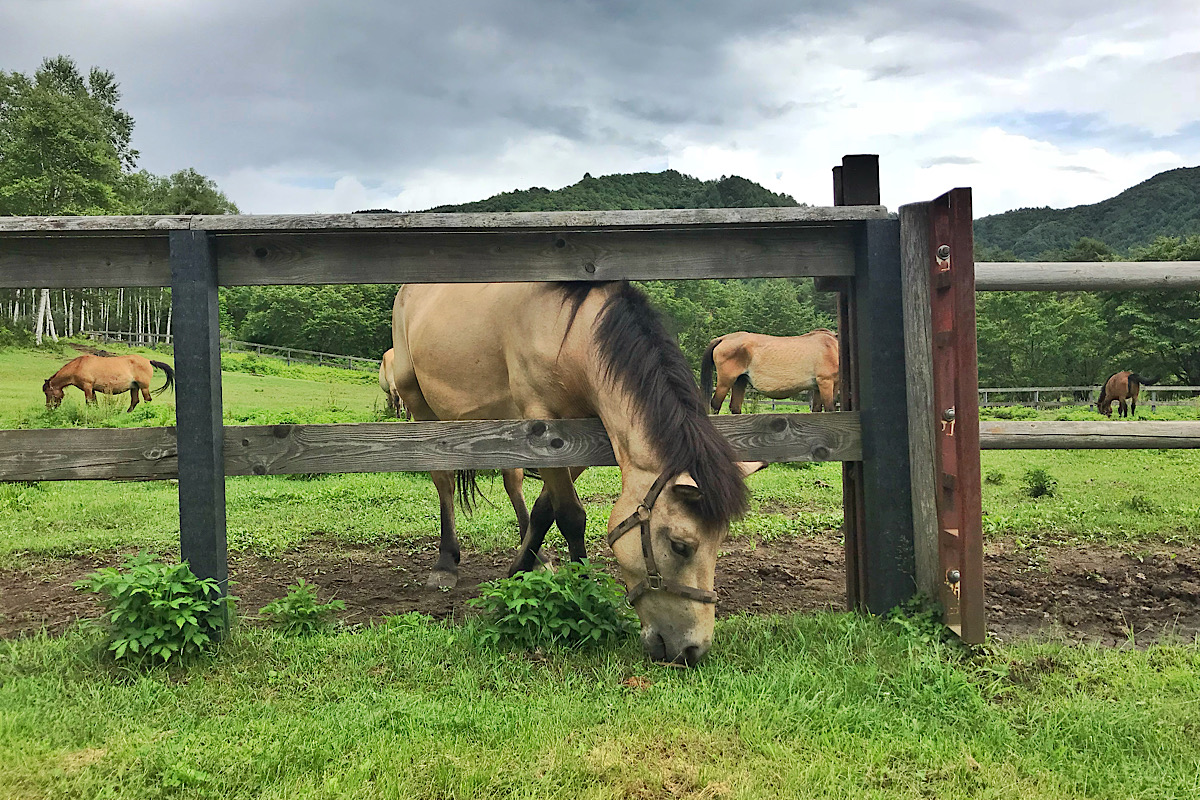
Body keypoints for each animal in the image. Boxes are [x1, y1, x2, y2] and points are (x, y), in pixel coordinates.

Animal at [42, 352, 175, 410]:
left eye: (48, 393)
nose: (49, 408)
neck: (78, 366)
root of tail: (148, 361)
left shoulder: (87, 387)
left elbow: (89, 402)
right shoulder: (91, 389)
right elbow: (94, 402)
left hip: (144, 387)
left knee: (147, 400)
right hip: (134, 387)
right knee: (135, 401)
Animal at [396, 284, 768, 666]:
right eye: (681, 546)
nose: (693, 650)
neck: (572, 333)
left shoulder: (581, 437)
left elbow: (545, 509)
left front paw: (520, 571)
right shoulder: (545, 430)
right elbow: (571, 516)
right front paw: (582, 589)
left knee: (512, 480)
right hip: (421, 406)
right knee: (444, 481)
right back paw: (446, 563)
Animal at [700, 331, 840, 417]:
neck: (834, 348)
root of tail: (723, 338)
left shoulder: (819, 387)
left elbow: (817, 410)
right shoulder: (825, 383)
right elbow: (830, 409)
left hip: (740, 381)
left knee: (735, 407)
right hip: (726, 382)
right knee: (715, 405)